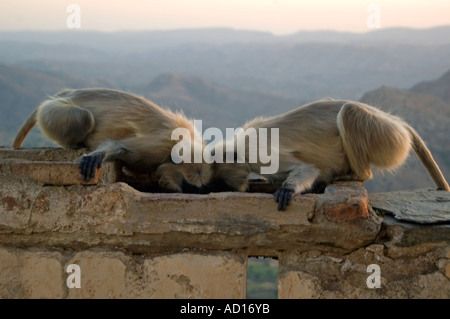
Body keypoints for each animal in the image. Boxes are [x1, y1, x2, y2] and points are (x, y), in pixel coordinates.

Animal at [11, 87, 212, 192]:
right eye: (187, 185)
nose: (186, 191)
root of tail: (65, 94)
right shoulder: (158, 147)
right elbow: (119, 146)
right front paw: (98, 155)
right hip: (53, 112)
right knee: (84, 118)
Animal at [211, 99, 450, 211]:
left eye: (221, 182)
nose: (218, 188)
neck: (239, 145)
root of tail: (397, 122)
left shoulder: (257, 154)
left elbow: (307, 168)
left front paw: (288, 188)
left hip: (387, 136)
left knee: (349, 112)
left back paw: (355, 174)